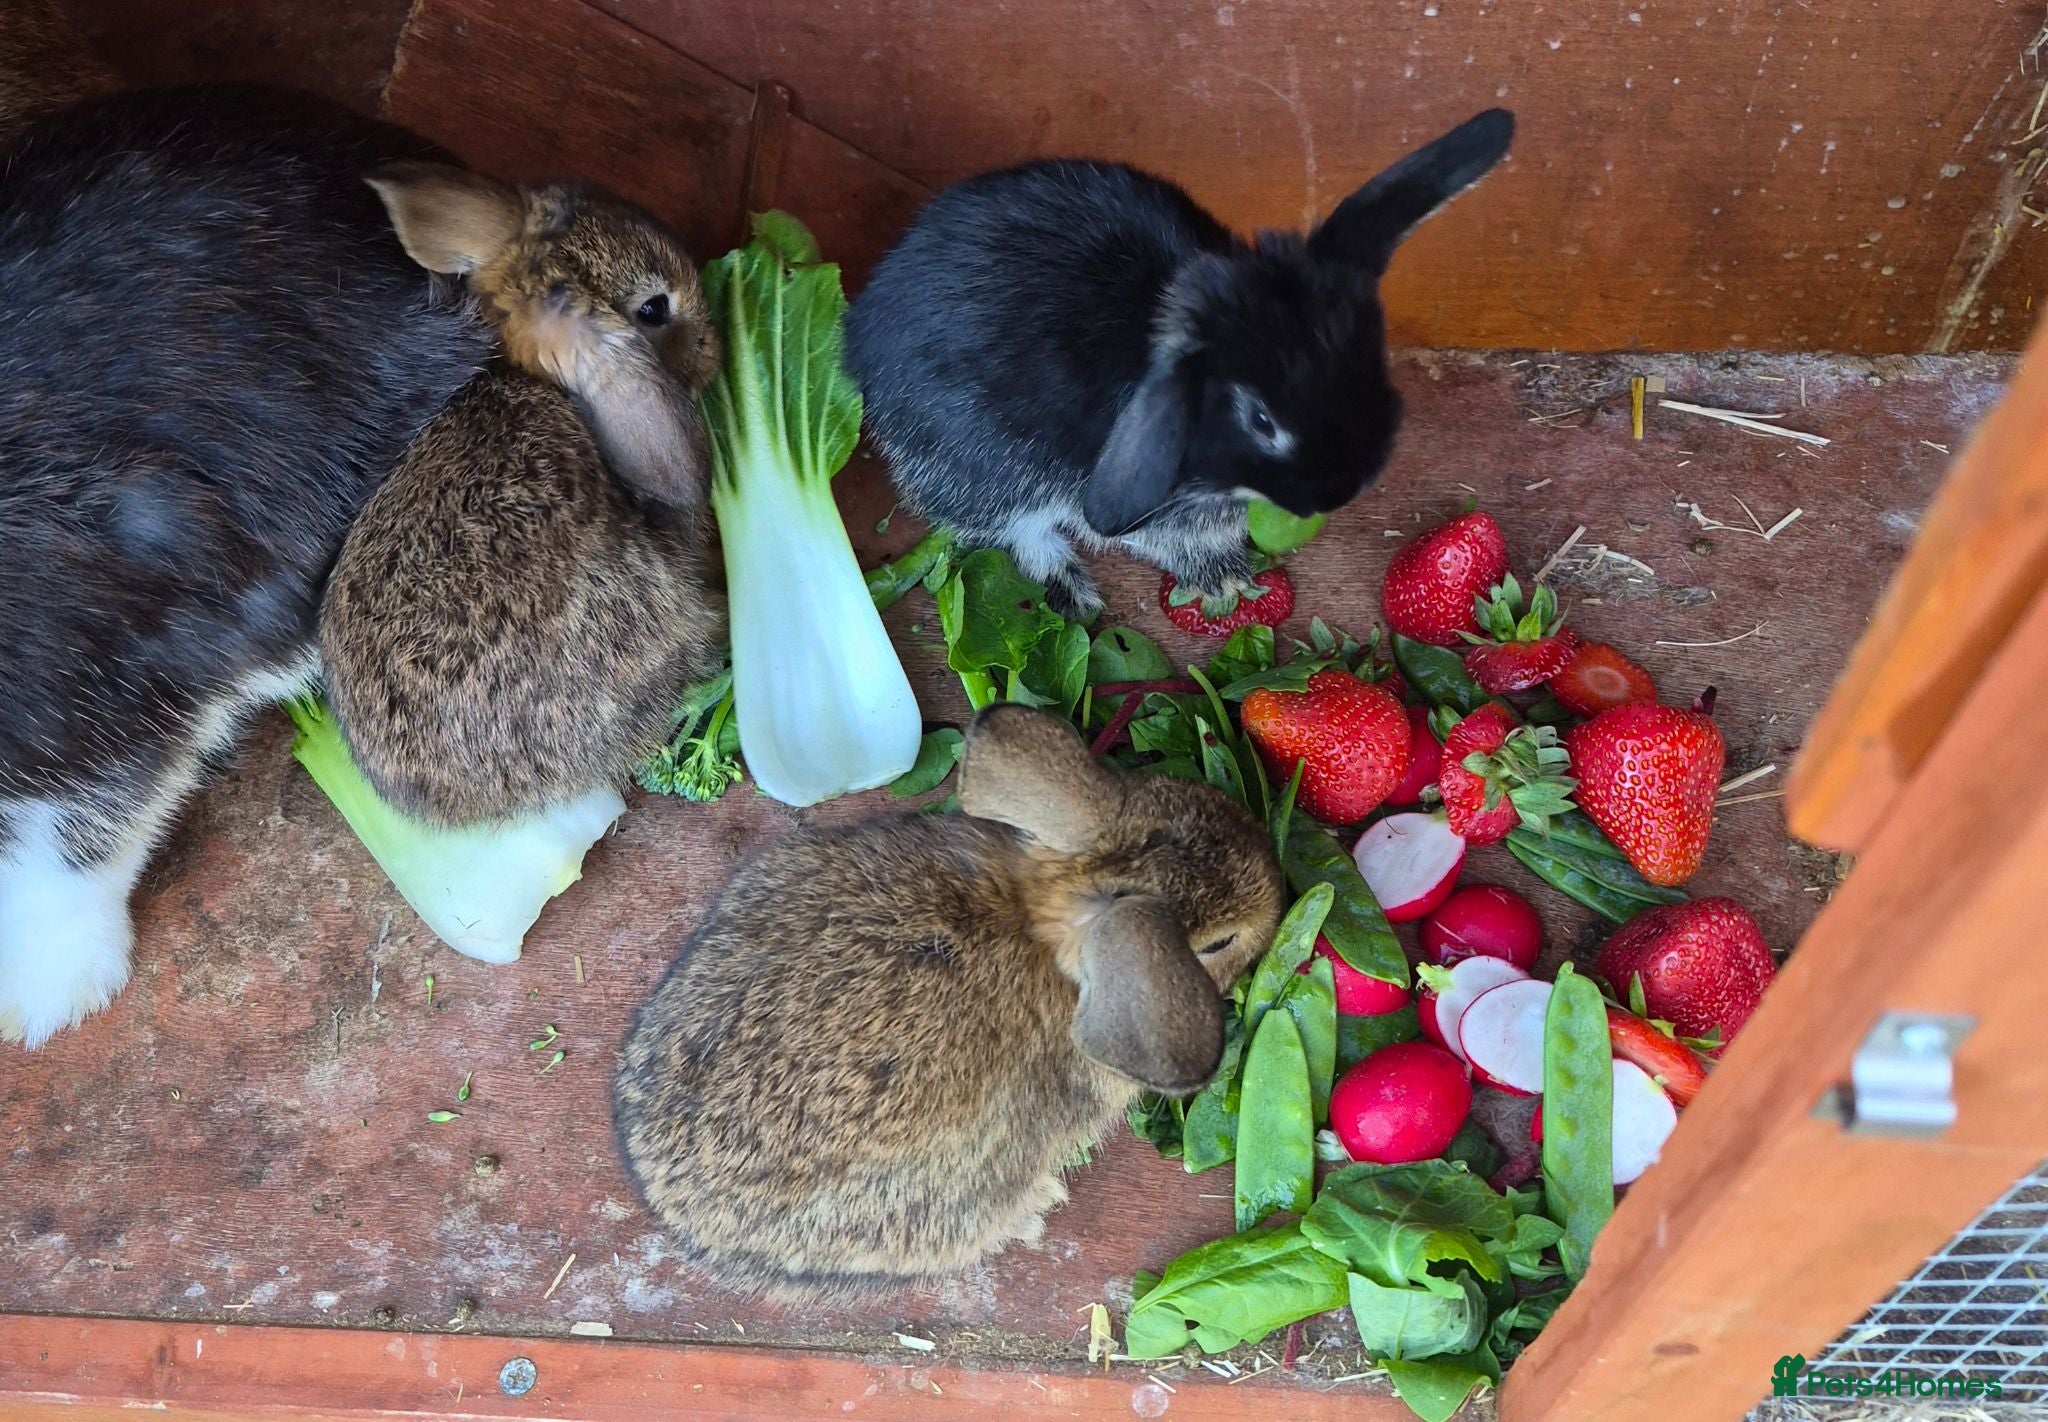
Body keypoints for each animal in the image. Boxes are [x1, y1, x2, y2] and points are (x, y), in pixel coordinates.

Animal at [844, 109, 1515, 618]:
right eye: (1261, 420)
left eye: (1370, 358)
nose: (1343, 489)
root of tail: (861, 338)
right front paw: (1228, 582)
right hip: (984, 474)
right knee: (1008, 531)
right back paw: (1075, 592)